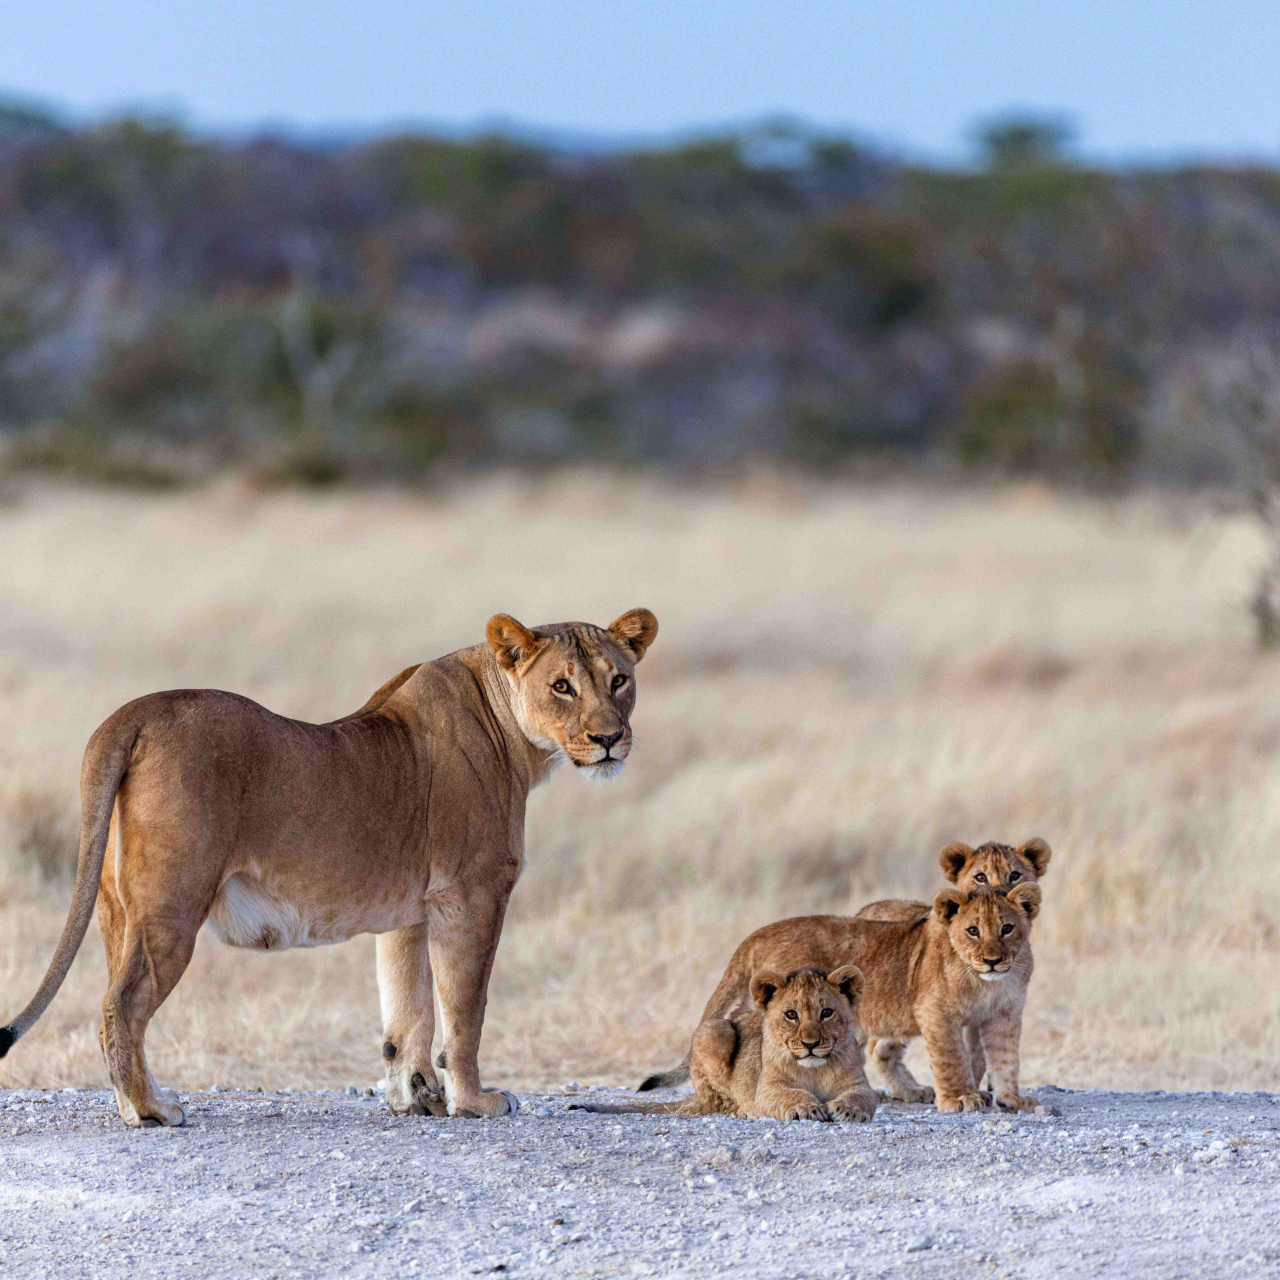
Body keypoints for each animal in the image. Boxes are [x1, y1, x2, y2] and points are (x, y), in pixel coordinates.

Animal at [0, 609, 657, 1128]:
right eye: (562, 686)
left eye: (619, 680)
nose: (610, 738)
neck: (514, 736)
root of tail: (132, 712)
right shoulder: (472, 894)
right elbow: (464, 1009)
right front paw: (475, 1102)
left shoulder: (412, 910)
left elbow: (408, 1010)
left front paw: (414, 1098)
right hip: (172, 905)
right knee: (122, 1005)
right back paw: (151, 1110)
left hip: (117, 907)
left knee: (116, 999)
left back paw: (136, 1100)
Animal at [573, 966, 878, 1122]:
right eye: (791, 1015)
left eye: (827, 1012)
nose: (810, 1043)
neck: (814, 1068)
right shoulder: (766, 1090)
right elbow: (789, 1095)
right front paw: (807, 1108)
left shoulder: (858, 1084)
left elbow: (863, 1097)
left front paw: (847, 1110)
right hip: (714, 1030)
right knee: (716, 1102)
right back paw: (741, 1111)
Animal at [639, 884, 1042, 1114]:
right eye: (973, 930)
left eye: (1007, 928)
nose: (993, 959)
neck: (986, 982)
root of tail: (757, 934)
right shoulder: (936, 1012)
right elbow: (951, 1058)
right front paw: (961, 1099)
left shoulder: (1006, 1014)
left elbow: (1005, 1058)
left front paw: (1012, 1100)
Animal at [854, 838, 1051, 1102]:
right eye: (980, 877)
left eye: (1014, 875)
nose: (997, 893)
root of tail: (866, 909)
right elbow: (961, 1055)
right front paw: (967, 1095)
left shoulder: (996, 1010)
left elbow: (981, 1055)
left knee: (880, 1049)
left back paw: (911, 1091)